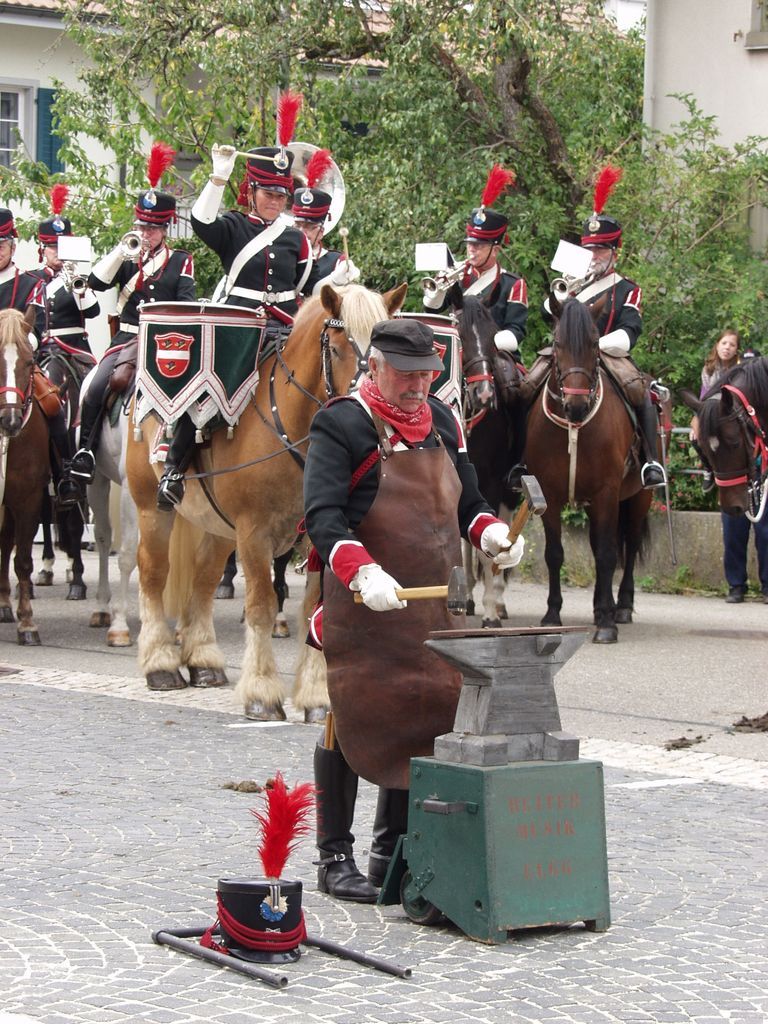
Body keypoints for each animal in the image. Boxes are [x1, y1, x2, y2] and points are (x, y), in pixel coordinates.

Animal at [126, 282, 409, 720]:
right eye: (337, 348)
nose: (373, 415)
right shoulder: (254, 534)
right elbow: (260, 606)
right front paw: (261, 692)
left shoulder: (318, 535)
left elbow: (315, 608)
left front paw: (316, 696)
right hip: (152, 510)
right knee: (154, 573)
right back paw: (161, 664)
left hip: (219, 529)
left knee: (204, 578)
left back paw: (204, 660)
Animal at [528, 296, 655, 643]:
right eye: (557, 343)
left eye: (595, 344)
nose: (576, 406)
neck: (575, 427)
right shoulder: (549, 495)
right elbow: (555, 553)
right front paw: (552, 615)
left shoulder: (606, 493)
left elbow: (608, 555)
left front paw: (607, 624)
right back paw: (604, 606)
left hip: (639, 497)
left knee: (629, 545)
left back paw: (620, 607)